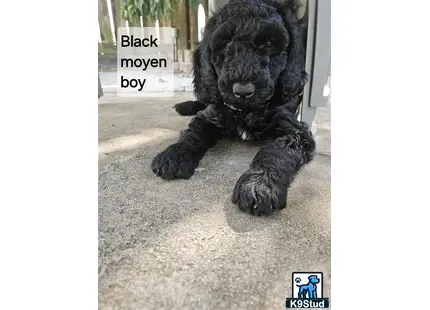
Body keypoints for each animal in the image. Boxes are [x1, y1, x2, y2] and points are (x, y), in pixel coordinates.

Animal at [151, 0, 316, 216]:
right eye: (225, 44)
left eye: (269, 44)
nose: (243, 91)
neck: (246, 111)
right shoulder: (211, 115)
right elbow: (192, 134)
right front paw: (174, 154)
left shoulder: (294, 130)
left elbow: (275, 151)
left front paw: (259, 184)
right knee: (204, 98)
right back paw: (184, 106)